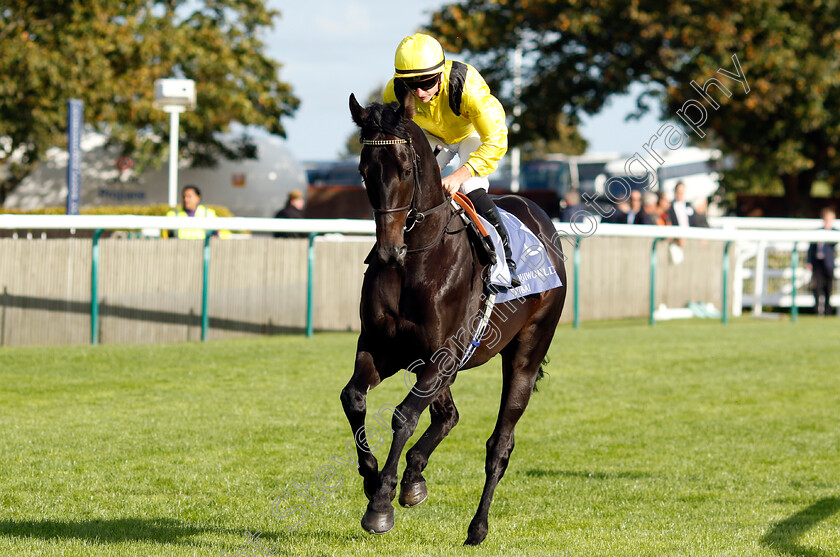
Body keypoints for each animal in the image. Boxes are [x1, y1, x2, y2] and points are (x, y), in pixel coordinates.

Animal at [340, 90, 564, 544]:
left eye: (407, 169)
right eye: (363, 170)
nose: (388, 251)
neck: (417, 261)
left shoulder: (443, 352)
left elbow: (403, 415)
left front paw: (380, 505)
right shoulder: (382, 347)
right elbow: (354, 398)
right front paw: (373, 479)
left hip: (525, 352)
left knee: (500, 444)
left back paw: (477, 526)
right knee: (447, 415)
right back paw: (414, 478)